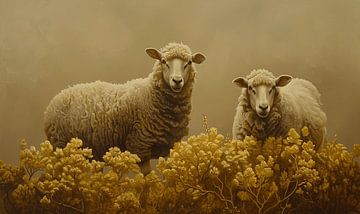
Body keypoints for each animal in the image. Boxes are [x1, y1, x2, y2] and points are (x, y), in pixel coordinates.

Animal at [43, 41, 205, 174]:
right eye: (163, 61)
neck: (150, 94)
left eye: (189, 62)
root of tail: (51, 104)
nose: (177, 80)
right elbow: (147, 181)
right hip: (62, 145)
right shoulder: (139, 145)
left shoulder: (169, 146)